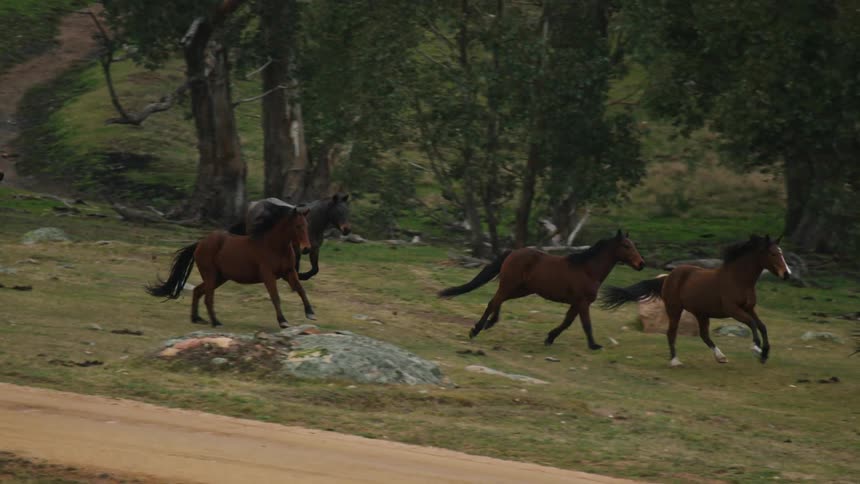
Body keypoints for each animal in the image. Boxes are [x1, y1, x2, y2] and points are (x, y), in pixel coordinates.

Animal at [146, 205, 316, 328]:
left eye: (306, 225)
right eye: (297, 226)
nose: (306, 248)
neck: (274, 247)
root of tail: (200, 243)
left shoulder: (289, 272)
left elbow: (301, 290)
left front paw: (310, 313)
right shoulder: (268, 275)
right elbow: (275, 297)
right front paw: (283, 321)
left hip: (219, 278)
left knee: (198, 291)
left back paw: (197, 319)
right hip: (211, 275)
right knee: (208, 298)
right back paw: (216, 322)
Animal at [438, 230, 646, 349]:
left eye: (633, 245)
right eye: (626, 246)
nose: (641, 264)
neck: (588, 269)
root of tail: (513, 252)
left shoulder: (576, 303)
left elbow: (567, 322)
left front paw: (550, 338)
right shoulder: (583, 302)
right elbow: (586, 324)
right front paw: (594, 345)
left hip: (521, 289)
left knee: (498, 301)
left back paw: (489, 323)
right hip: (511, 285)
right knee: (494, 301)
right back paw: (476, 329)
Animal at [600, 234, 791, 366]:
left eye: (781, 253)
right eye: (773, 254)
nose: (787, 274)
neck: (738, 280)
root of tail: (668, 277)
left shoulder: (749, 308)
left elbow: (762, 326)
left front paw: (765, 354)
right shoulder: (733, 310)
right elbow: (752, 324)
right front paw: (757, 349)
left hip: (701, 313)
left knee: (704, 335)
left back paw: (720, 357)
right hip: (675, 309)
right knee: (671, 333)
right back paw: (675, 361)